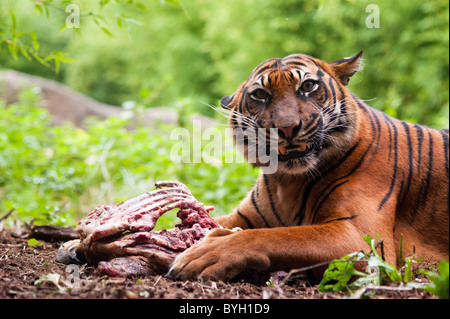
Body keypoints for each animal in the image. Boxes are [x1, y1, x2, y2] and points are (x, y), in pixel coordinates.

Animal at [167, 50, 448, 282]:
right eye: (260, 95)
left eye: (308, 86)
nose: (287, 127)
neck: (287, 181)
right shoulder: (244, 216)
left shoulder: (363, 239)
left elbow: (281, 236)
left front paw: (206, 254)